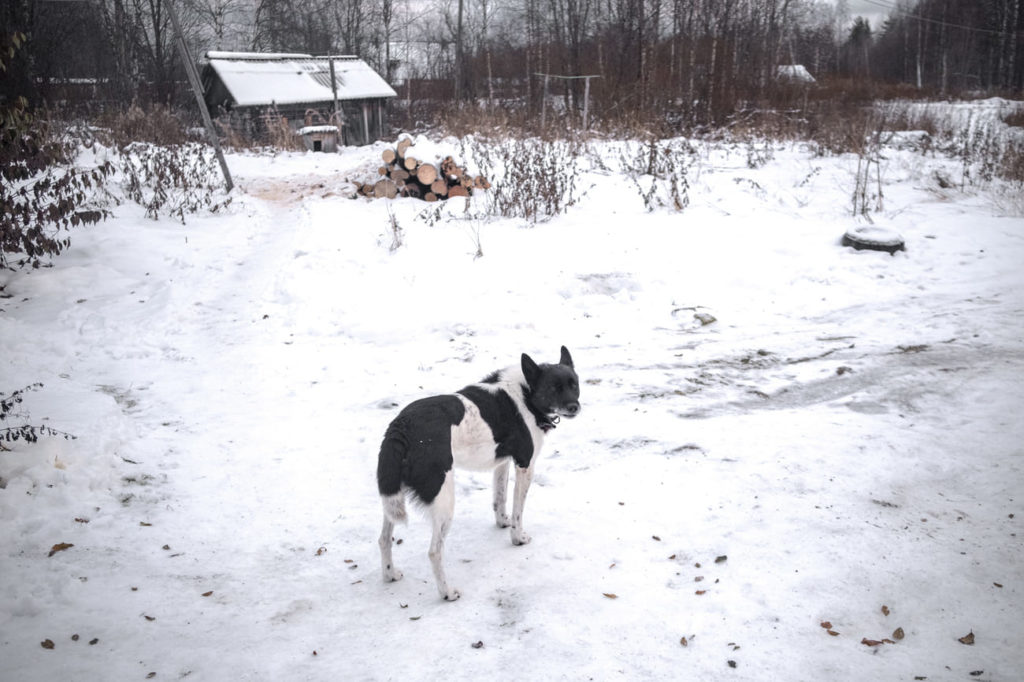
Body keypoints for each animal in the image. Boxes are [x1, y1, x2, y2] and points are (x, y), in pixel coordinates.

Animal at [378, 348, 585, 598]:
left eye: (574, 384)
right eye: (553, 388)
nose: (574, 407)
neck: (526, 393)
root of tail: (401, 426)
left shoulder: (502, 462)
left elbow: (500, 498)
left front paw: (502, 522)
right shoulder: (525, 465)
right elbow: (518, 511)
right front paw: (518, 538)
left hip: (392, 498)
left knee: (384, 539)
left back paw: (390, 574)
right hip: (444, 499)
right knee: (434, 551)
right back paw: (447, 593)